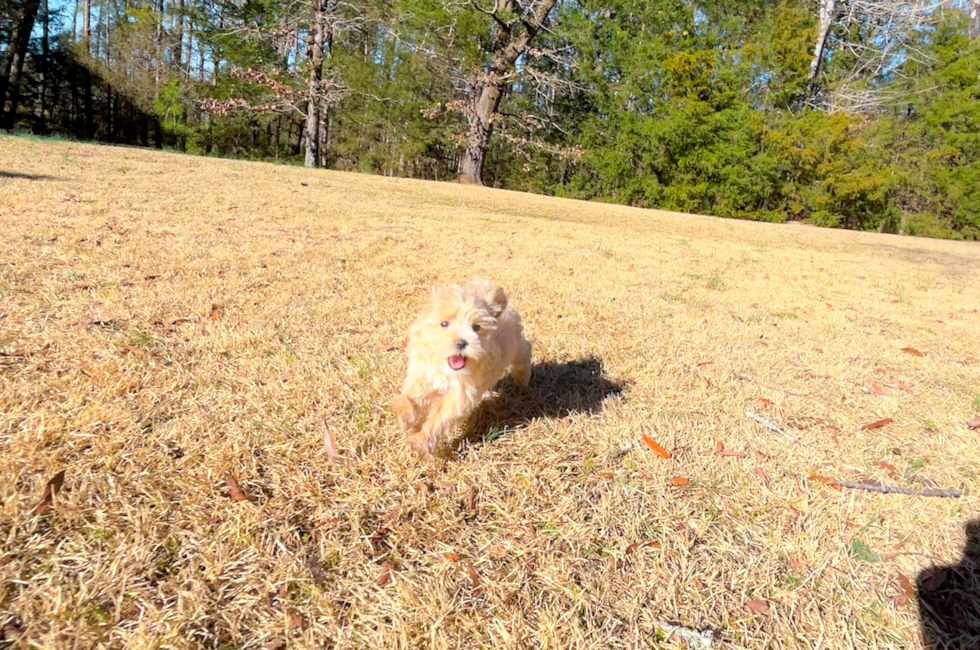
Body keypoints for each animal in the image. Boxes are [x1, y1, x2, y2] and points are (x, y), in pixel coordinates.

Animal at [394, 278, 532, 450]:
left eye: (476, 327)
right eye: (444, 324)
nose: (461, 343)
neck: (446, 371)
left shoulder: (461, 394)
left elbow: (441, 417)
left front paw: (421, 440)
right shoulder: (424, 375)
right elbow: (411, 395)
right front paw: (405, 417)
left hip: (514, 345)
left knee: (524, 350)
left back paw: (522, 378)